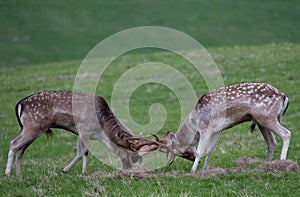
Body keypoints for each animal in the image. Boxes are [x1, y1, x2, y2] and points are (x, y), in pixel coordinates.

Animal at [4, 91, 163, 175]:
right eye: (133, 156)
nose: (127, 169)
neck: (100, 130)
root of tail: (20, 104)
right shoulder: (83, 129)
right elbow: (85, 152)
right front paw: (84, 172)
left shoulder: (79, 132)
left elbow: (79, 153)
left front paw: (65, 170)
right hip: (33, 127)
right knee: (13, 144)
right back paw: (7, 173)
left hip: (34, 130)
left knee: (21, 149)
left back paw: (19, 174)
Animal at [156, 82, 290, 172]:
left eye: (181, 153)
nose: (196, 161)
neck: (194, 124)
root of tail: (284, 96)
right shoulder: (217, 130)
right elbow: (210, 150)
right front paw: (204, 169)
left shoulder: (205, 128)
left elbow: (200, 151)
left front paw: (193, 171)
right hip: (261, 121)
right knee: (271, 142)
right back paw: (265, 165)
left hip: (267, 117)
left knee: (286, 133)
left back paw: (282, 163)